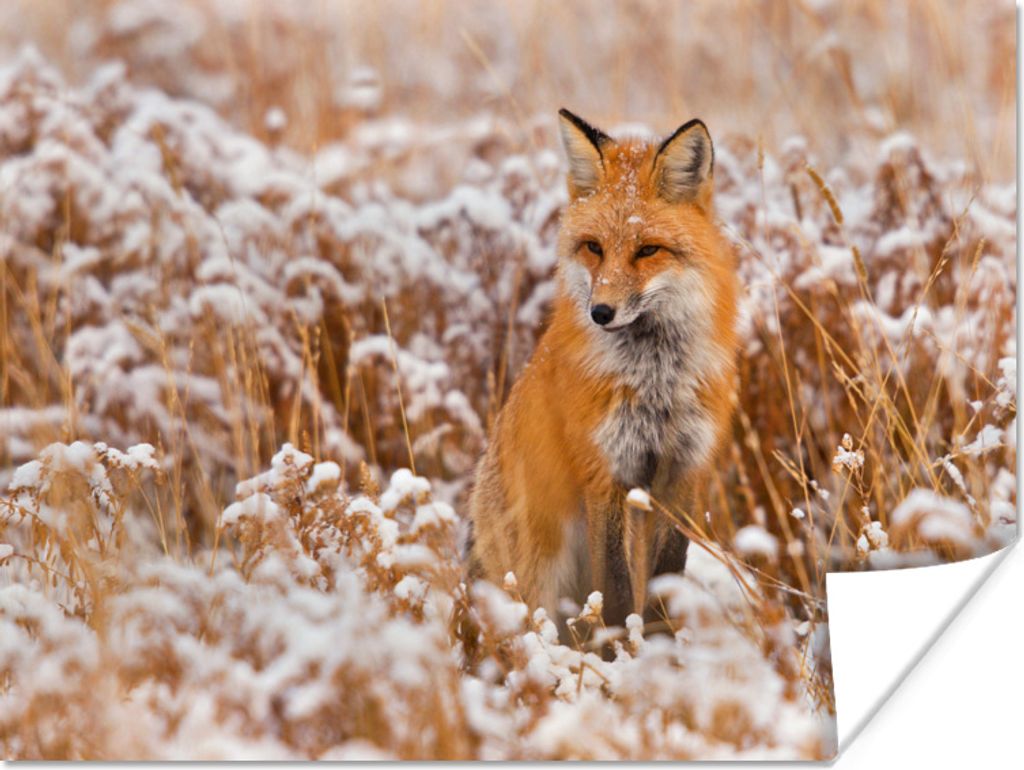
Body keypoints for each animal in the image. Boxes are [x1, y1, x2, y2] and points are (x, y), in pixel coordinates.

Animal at [467, 109, 739, 630]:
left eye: (648, 250)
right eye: (593, 247)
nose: (600, 312)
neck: (655, 382)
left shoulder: (683, 471)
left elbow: (665, 580)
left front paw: (660, 644)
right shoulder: (604, 472)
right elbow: (613, 592)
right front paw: (621, 646)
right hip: (539, 570)